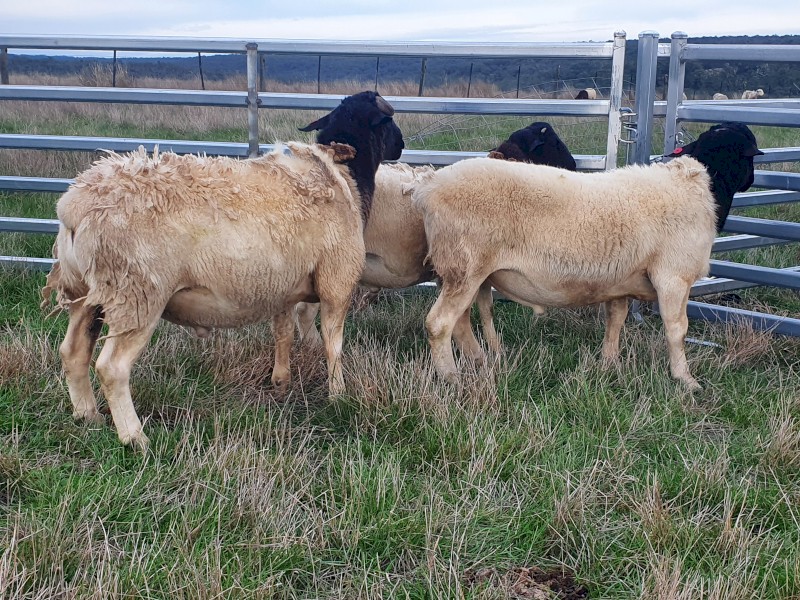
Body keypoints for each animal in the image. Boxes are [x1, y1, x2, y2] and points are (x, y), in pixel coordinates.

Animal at [41, 91, 404, 450]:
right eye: (388, 121)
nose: (401, 146)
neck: (344, 174)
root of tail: (74, 207)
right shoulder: (336, 281)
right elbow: (333, 343)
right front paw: (338, 394)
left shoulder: (283, 286)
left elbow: (283, 333)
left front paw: (281, 382)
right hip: (136, 293)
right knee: (111, 368)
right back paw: (135, 437)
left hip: (87, 293)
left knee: (72, 352)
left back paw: (88, 417)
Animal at [294, 121, 577, 352]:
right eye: (553, 142)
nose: (574, 164)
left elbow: (487, 309)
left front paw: (495, 350)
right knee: (306, 311)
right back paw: (316, 348)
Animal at [412, 123, 762, 390]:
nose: (751, 182)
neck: (702, 184)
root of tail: (428, 188)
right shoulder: (674, 275)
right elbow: (677, 329)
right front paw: (686, 380)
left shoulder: (621, 280)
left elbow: (616, 321)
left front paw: (610, 365)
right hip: (465, 267)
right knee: (439, 323)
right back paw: (451, 377)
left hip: (459, 271)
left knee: (460, 323)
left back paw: (478, 362)